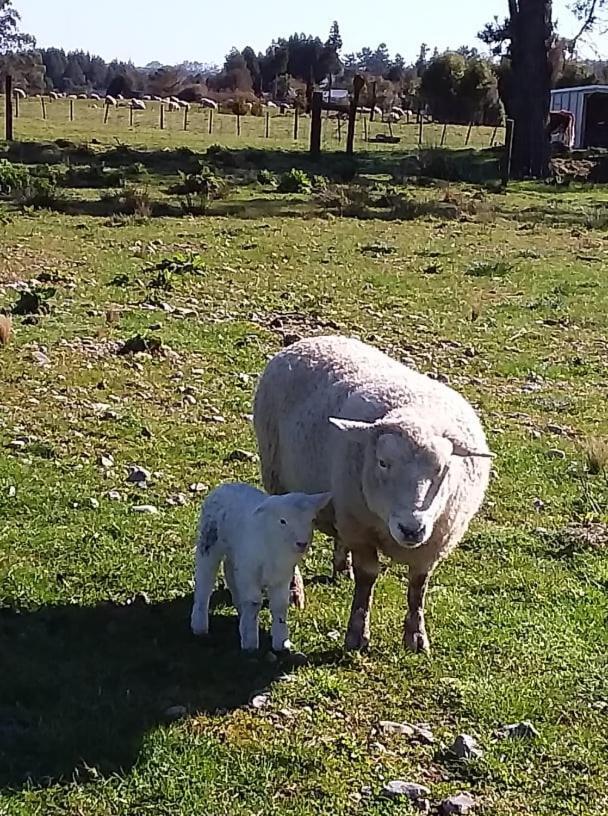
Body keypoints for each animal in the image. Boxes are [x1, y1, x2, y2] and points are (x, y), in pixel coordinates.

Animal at [191, 484, 330, 652]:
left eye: (312, 520)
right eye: (283, 521)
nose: (302, 543)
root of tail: (223, 486)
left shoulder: (282, 576)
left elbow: (280, 606)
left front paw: (281, 642)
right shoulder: (249, 572)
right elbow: (253, 603)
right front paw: (250, 642)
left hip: (235, 554)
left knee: (229, 571)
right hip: (209, 543)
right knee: (205, 581)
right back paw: (199, 625)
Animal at [253, 334, 494, 652]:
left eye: (443, 468)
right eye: (382, 462)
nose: (411, 529)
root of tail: (312, 340)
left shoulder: (434, 542)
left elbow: (418, 586)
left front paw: (416, 637)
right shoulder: (360, 528)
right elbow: (367, 580)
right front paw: (357, 634)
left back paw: (342, 567)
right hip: (279, 482)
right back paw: (294, 591)